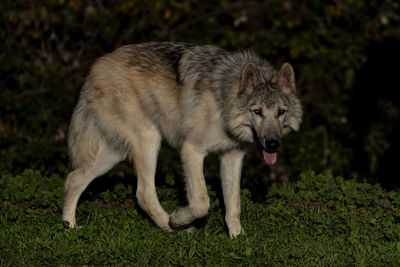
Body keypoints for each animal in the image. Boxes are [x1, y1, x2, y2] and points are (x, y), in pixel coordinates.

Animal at [62, 42, 302, 239]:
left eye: (281, 112)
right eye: (258, 111)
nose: (273, 143)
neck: (223, 101)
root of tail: (97, 66)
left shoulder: (232, 156)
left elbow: (234, 205)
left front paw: (237, 238)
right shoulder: (191, 150)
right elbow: (201, 202)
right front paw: (178, 218)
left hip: (114, 154)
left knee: (73, 179)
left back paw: (69, 228)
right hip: (149, 139)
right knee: (144, 194)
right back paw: (174, 228)